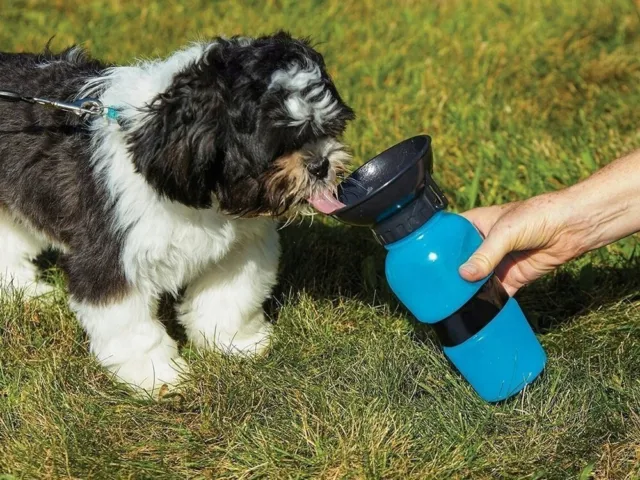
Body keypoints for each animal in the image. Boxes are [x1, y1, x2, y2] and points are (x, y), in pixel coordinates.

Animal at [0, 31, 356, 396]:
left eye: (328, 129)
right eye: (279, 145)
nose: (321, 165)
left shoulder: (241, 247)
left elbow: (229, 298)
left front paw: (237, 343)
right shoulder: (111, 257)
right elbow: (132, 328)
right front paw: (158, 376)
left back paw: (25, 293)